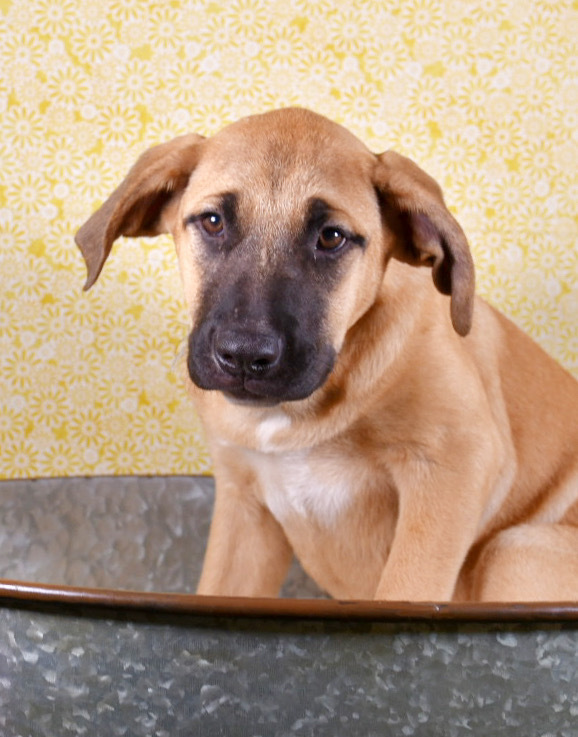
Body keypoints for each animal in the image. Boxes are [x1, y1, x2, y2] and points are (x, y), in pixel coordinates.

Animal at [76, 110, 576, 604]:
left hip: (516, 549)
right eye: (213, 221)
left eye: (331, 237)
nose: (244, 356)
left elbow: (404, 592)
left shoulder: (454, 462)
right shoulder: (244, 508)